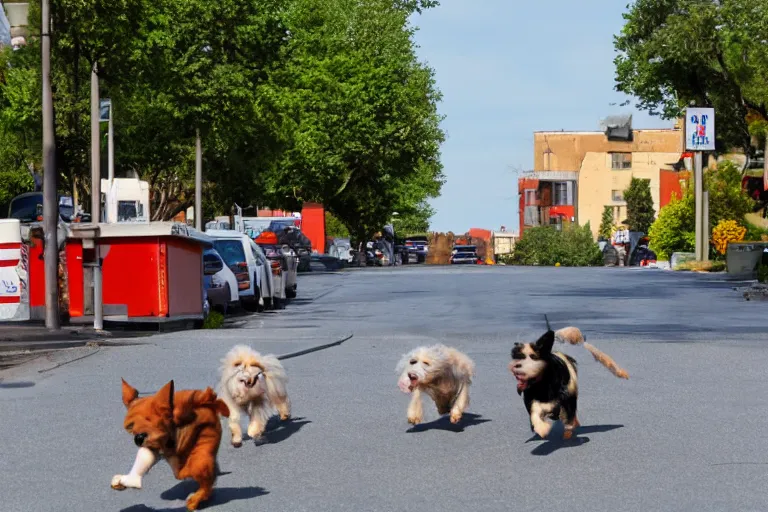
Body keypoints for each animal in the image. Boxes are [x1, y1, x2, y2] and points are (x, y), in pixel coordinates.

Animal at [112, 378, 230, 510]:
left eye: (150, 420)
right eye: (131, 425)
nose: (139, 438)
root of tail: (208, 404)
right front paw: (123, 482)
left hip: (203, 451)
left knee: (201, 477)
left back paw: (195, 499)